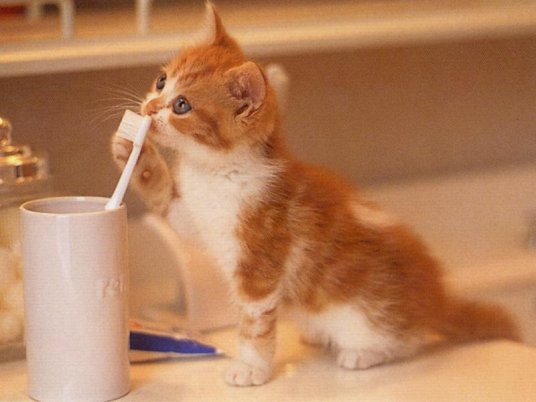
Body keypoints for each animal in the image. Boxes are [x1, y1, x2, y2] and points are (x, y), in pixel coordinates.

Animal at [112, 2, 520, 386]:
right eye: (161, 81)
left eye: (182, 105)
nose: (149, 107)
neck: (217, 171)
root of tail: (436, 299)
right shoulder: (200, 219)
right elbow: (171, 209)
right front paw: (133, 151)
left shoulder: (260, 263)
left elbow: (255, 324)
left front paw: (252, 369)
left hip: (368, 316)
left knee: (408, 340)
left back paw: (364, 354)